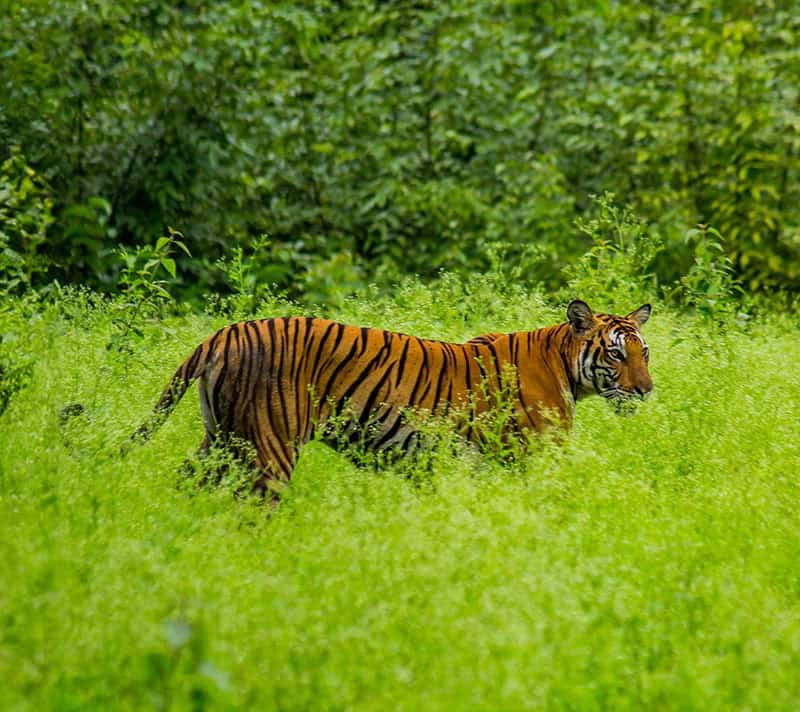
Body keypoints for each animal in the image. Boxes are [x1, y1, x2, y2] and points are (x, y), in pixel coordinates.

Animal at [131, 298, 652, 490]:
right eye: (617, 355)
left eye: (644, 353)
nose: (647, 391)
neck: (566, 364)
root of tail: (224, 332)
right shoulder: (534, 457)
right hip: (268, 445)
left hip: (221, 438)